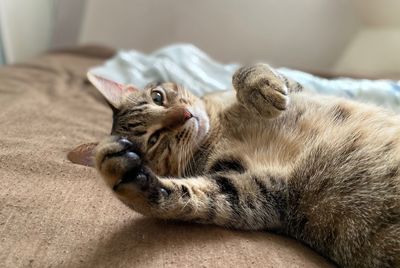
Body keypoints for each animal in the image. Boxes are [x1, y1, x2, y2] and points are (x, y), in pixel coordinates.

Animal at [87, 63, 400, 266]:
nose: (186, 114)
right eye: (154, 140)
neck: (220, 127)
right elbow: (189, 197)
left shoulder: (299, 89)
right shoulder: (263, 194)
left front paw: (262, 89)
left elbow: (247, 70)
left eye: (158, 97)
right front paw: (128, 177)